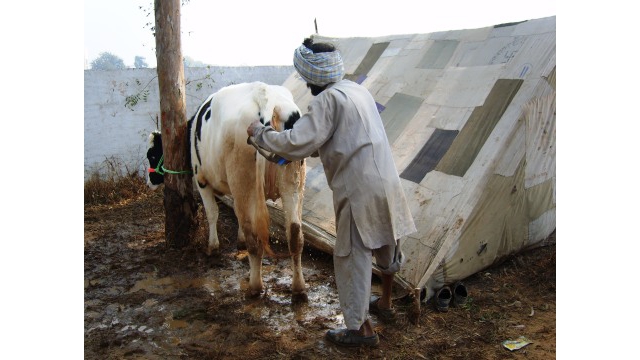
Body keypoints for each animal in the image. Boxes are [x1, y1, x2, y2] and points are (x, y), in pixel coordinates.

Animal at [146, 82, 306, 298]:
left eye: (152, 156)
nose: (148, 182)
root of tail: (264, 93)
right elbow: (237, 214)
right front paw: (238, 241)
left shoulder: (202, 180)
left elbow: (213, 213)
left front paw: (213, 247)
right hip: (292, 184)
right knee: (295, 233)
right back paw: (299, 287)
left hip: (243, 179)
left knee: (254, 236)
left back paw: (255, 286)